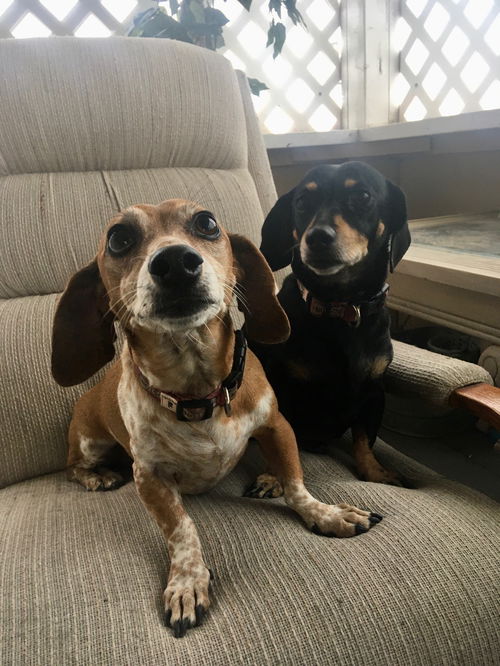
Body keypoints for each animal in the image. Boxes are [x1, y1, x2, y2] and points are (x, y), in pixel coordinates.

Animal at [50, 200, 380, 636]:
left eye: (206, 223)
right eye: (118, 238)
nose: (176, 262)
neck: (197, 391)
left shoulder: (277, 426)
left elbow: (297, 485)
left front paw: (325, 513)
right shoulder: (148, 475)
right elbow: (181, 528)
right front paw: (187, 581)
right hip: (89, 440)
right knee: (73, 466)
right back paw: (97, 477)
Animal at [249, 158, 410, 486]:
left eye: (362, 196)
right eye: (301, 202)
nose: (317, 237)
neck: (340, 307)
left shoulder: (374, 391)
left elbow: (364, 439)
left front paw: (375, 472)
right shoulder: (278, 384)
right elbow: (278, 435)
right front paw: (274, 476)